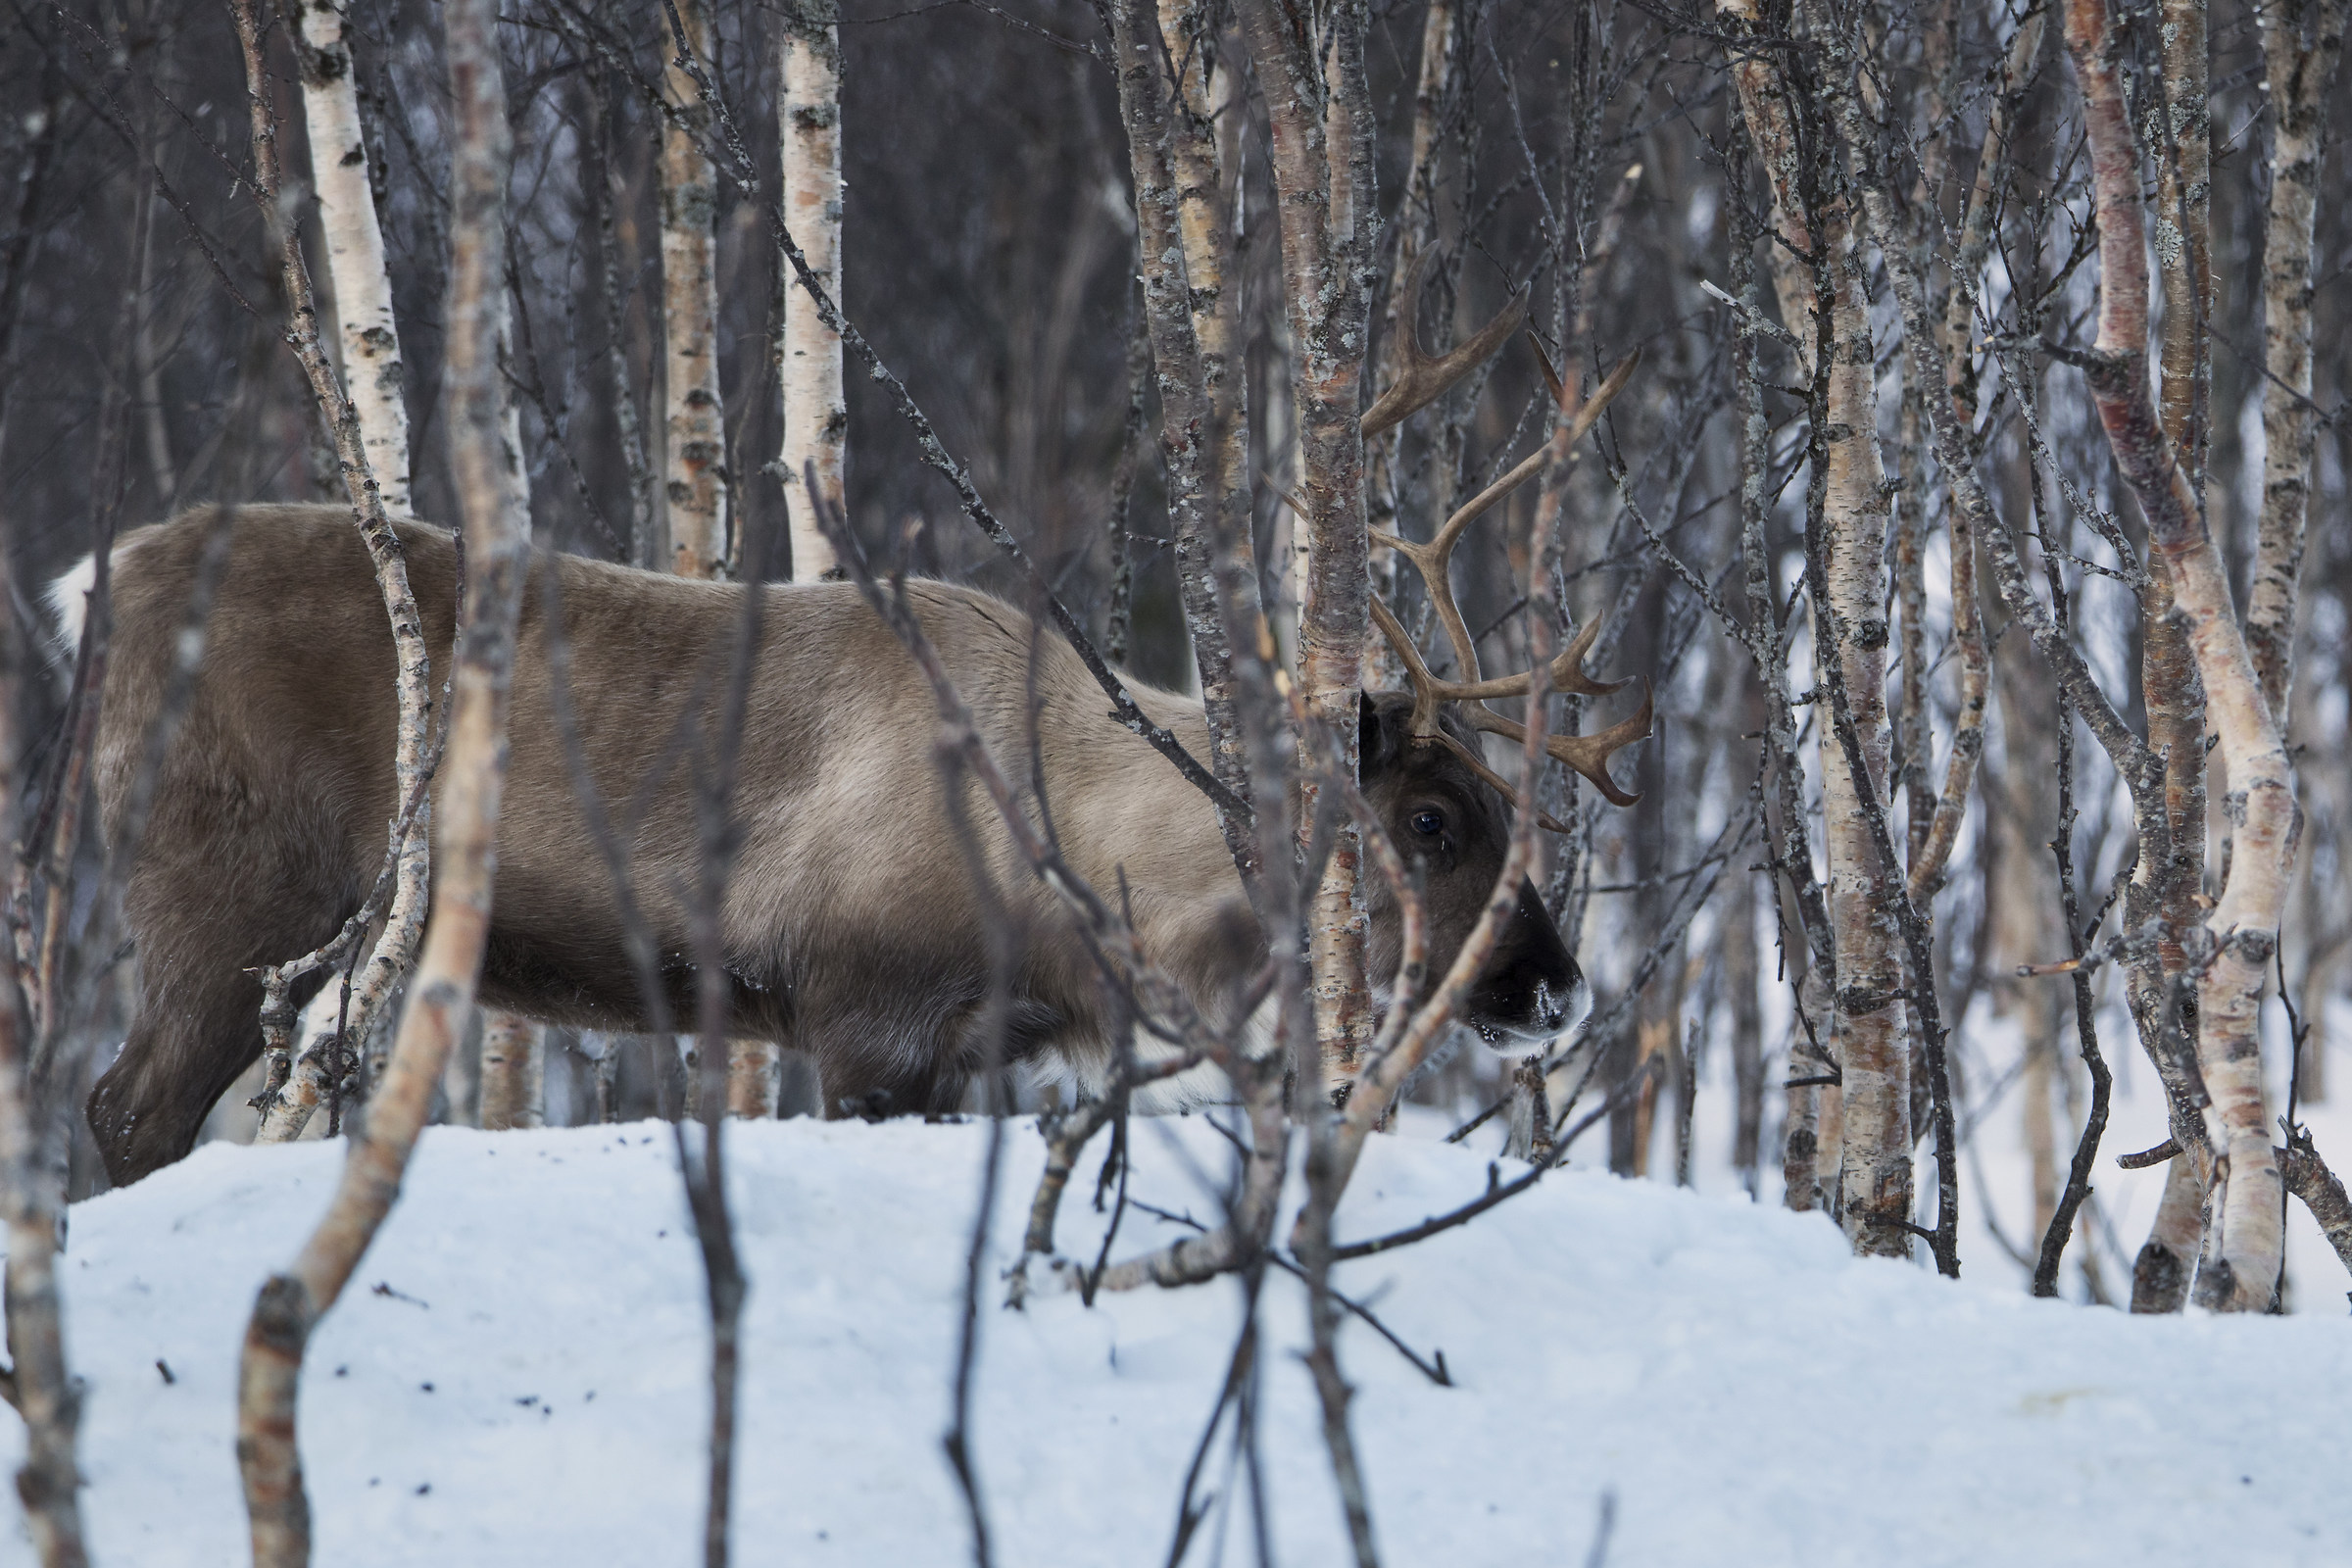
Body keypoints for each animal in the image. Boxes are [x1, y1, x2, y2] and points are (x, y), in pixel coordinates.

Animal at [65, 290, 1647, 1189]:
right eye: (1432, 819)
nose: (1560, 988)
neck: (1080, 860)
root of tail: (95, 580)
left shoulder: (959, 1053)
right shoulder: (863, 1018)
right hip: (223, 894)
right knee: (125, 1112)